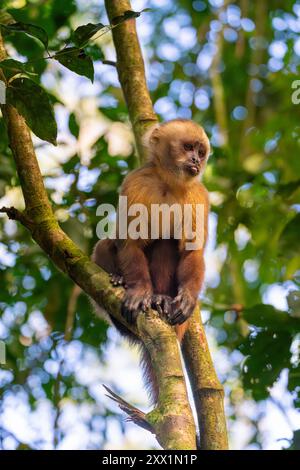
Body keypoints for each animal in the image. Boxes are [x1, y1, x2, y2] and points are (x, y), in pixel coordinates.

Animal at [92, 119, 210, 402]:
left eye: (201, 152)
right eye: (188, 147)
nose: (196, 161)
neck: (170, 182)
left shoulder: (198, 195)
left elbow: (192, 252)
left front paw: (186, 297)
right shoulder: (136, 181)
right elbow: (129, 241)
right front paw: (139, 291)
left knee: (167, 242)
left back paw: (160, 300)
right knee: (106, 245)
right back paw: (121, 282)